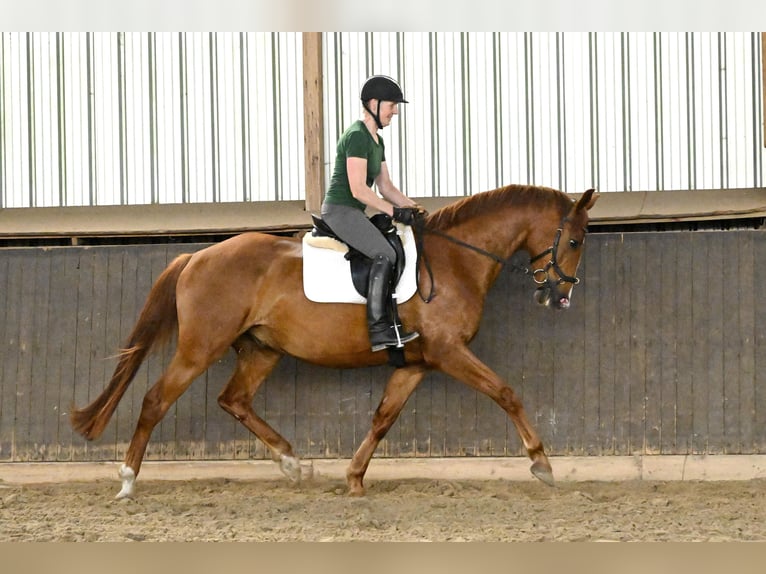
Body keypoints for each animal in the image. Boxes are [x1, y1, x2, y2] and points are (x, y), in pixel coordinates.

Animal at [70, 186, 600, 500]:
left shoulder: (416, 364)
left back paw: (292, 464)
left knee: (233, 399)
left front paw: (354, 478)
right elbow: (506, 392)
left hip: (262, 350)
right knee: (155, 400)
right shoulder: (449, 352)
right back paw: (127, 482)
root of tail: (196, 257)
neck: (456, 261)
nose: (561, 296)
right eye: (575, 241)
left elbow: (383, 418)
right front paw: (541, 463)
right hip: (200, 347)